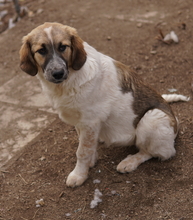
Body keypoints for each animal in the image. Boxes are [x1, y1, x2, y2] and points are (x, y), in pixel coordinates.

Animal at [19, 22, 188, 187]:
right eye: (41, 50)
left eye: (62, 47)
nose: (58, 73)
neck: (68, 82)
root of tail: (175, 121)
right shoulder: (82, 123)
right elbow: (86, 144)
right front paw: (90, 161)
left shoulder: (89, 121)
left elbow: (82, 151)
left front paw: (79, 174)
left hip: (152, 118)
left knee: (158, 152)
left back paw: (130, 161)